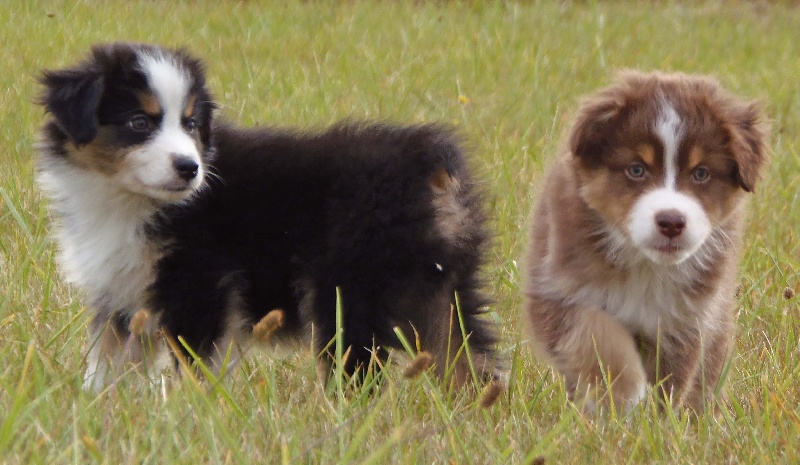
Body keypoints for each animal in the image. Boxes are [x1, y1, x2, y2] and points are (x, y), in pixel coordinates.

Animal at [39, 42, 500, 392]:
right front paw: (98, 410)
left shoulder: (199, 281)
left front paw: (192, 412)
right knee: (467, 356)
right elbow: (107, 365)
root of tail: (428, 158)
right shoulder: (120, 293)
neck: (126, 199)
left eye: (191, 124)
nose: (190, 168)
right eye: (139, 122)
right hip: (440, 286)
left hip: (350, 288)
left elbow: (194, 361)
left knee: (359, 366)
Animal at [524, 70, 768, 410]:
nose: (671, 222)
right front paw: (621, 391)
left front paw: (656, 417)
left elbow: (672, 381)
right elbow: (596, 337)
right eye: (636, 169)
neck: (645, 266)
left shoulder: (684, 319)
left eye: (701, 173)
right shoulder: (559, 290)